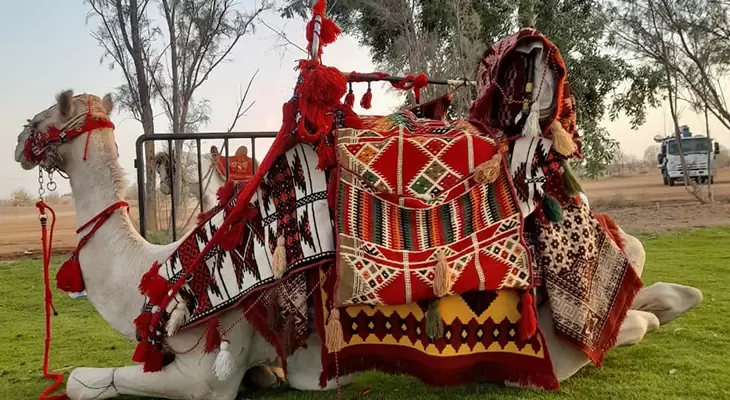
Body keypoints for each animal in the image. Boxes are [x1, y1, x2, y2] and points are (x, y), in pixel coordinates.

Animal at [14, 90, 704, 400]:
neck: (157, 273)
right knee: (638, 282)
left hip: (552, 347)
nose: (20, 138)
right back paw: (671, 296)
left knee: (622, 322)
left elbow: (80, 380)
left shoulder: (208, 365)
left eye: (53, 109)